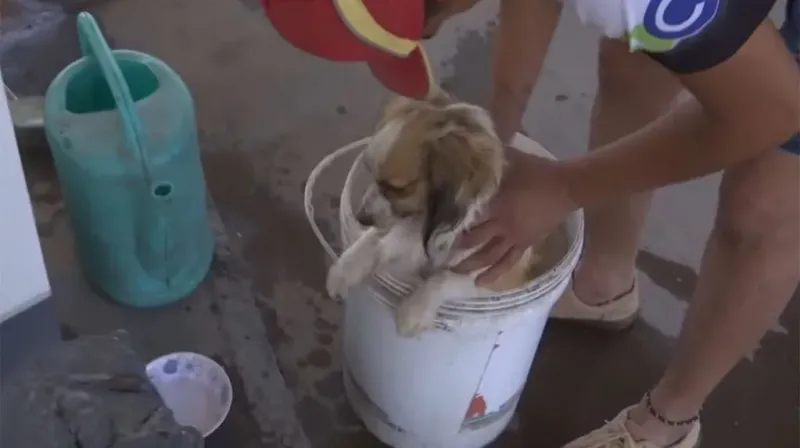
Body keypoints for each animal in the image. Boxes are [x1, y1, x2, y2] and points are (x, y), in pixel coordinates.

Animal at [324, 91, 544, 336]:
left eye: (398, 189)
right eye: (370, 172)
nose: (361, 217)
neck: (427, 225)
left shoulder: (493, 276)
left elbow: (443, 278)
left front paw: (415, 311)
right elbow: (371, 241)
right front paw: (345, 269)